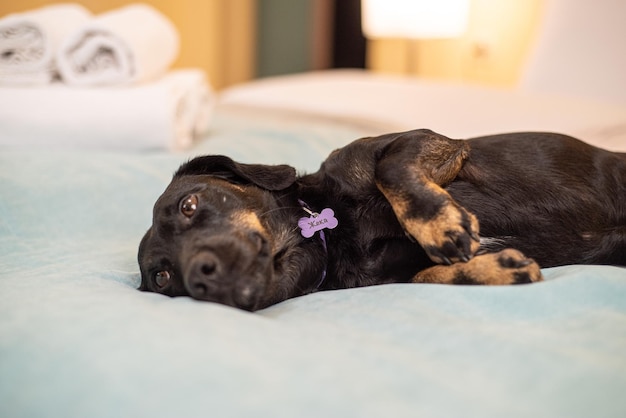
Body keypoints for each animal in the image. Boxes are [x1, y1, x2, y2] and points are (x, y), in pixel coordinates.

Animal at [138, 131, 624, 310]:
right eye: (163, 279)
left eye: (189, 206)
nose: (200, 276)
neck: (337, 232)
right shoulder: (395, 276)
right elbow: (427, 275)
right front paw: (496, 268)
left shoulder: (426, 142)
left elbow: (392, 170)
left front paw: (441, 224)